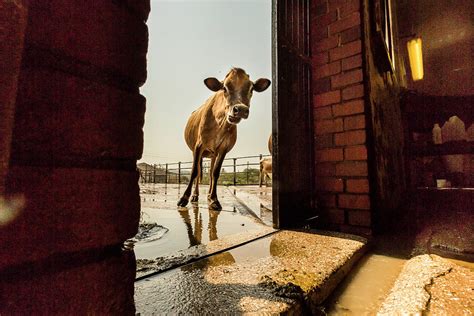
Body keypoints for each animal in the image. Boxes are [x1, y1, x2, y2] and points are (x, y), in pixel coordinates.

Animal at [177, 67, 270, 210]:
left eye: (251, 89)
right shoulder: (199, 146)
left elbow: (215, 173)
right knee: (198, 171)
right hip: (197, 151)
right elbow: (194, 172)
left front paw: (214, 199)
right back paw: (195, 196)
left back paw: (208, 196)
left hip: (213, 154)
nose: (240, 109)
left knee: (210, 172)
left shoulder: (223, 149)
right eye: (225, 88)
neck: (220, 122)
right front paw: (184, 198)